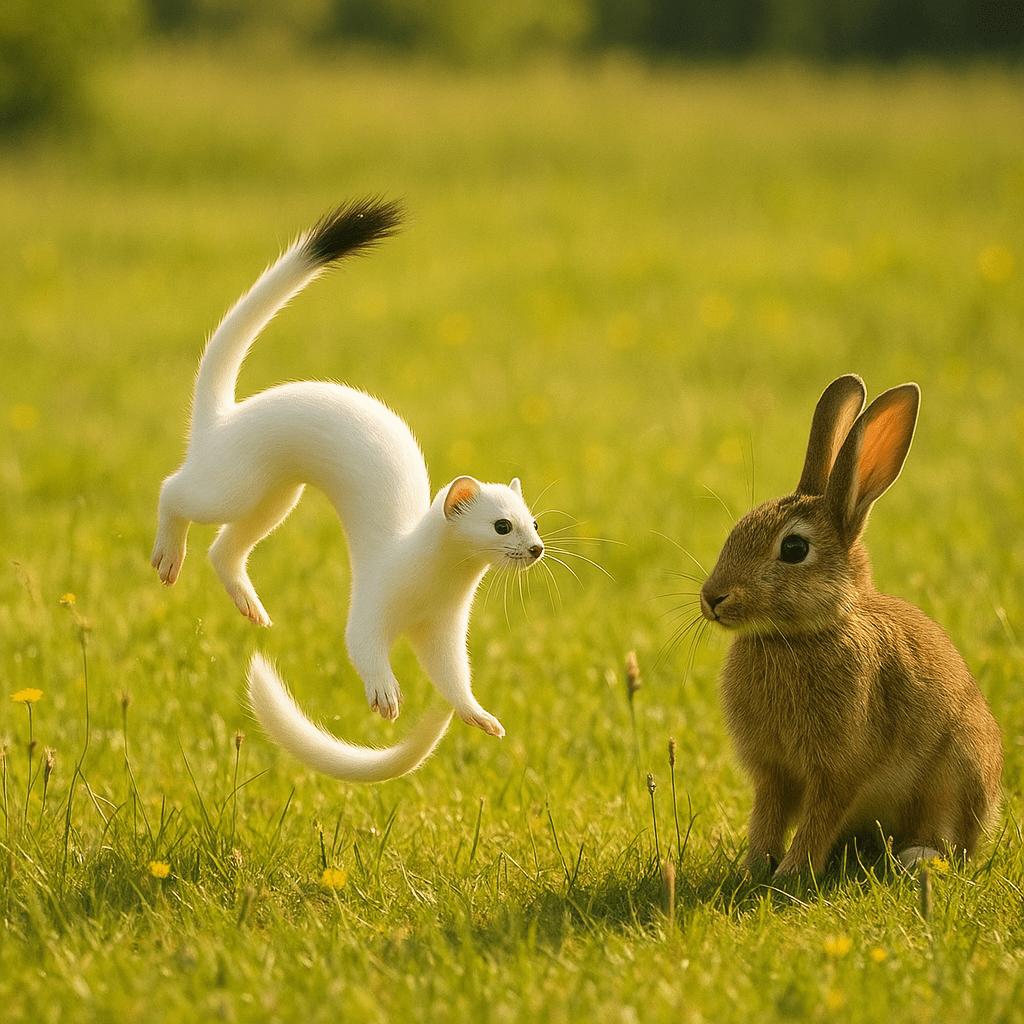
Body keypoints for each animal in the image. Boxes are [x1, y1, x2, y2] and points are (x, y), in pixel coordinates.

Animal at [699, 373, 1002, 877]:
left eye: (794, 548)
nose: (713, 598)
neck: (801, 635)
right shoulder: (773, 772)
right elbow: (768, 815)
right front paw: (754, 869)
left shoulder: (841, 767)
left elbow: (820, 817)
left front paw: (790, 874)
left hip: (957, 775)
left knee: (950, 839)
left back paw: (916, 858)